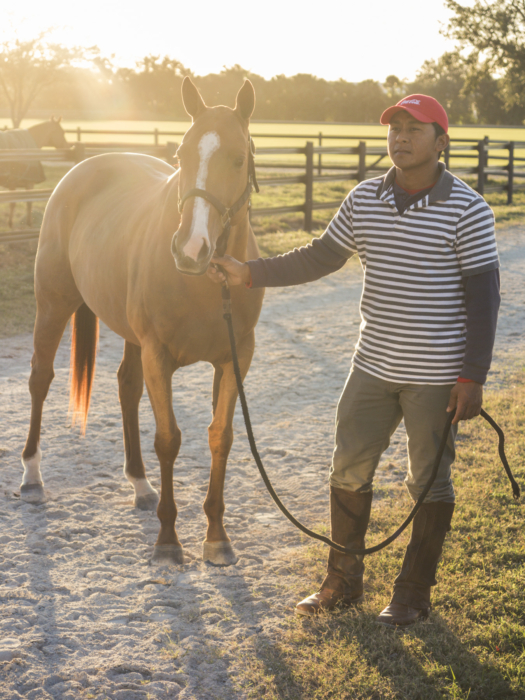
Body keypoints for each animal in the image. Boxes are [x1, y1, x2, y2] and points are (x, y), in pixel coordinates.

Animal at [20, 79, 264, 568]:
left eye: (237, 158)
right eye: (181, 155)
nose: (191, 249)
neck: (206, 286)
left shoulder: (235, 357)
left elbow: (221, 437)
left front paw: (217, 536)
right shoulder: (159, 356)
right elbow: (168, 439)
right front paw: (168, 540)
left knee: (126, 387)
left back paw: (140, 484)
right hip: (53, 306)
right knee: (40, 378)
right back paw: (32, 477)